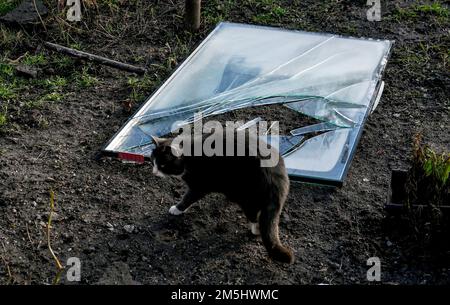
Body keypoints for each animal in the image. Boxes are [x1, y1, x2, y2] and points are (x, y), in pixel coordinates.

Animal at [149, 129, 294, 262]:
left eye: (163, 165)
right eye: (153, 162)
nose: (154, 172)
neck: (188, 157)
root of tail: (274, 179)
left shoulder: (199, 185)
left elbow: (188, 198)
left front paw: (177, 209)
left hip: (247, 196)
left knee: (255, 217)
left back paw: (255, 229)